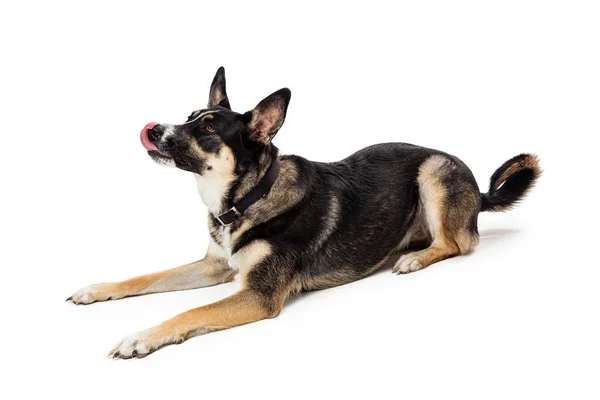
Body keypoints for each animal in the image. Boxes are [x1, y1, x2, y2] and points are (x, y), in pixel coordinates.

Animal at [67, 67, 544, 358]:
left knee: (457, 242)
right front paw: (96, 289)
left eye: (207, 129)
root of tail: (478, 191)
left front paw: (139, 338)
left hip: (434, 171)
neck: (248, 197)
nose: (152, 130)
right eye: (189, 116)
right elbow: (146, 278)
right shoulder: (214, 265)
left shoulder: (258, 296)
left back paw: (413, 257)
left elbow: (190, 313)